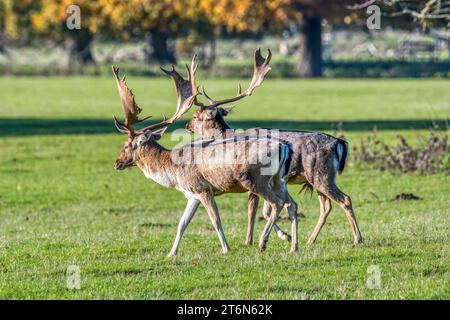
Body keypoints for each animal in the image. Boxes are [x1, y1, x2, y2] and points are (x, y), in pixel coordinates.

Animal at [110, 57, 298, 258]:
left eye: (126, 145)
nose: (117, 163)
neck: (173, 172)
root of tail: (284, 147)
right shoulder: (191, 194)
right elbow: (182, 224)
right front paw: (171, 253)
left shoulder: (203, 189)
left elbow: (216, 220)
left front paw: (226, 249)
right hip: (279, 180)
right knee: (291, 204)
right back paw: (294, 246)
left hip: (257, 180)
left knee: (277, 203)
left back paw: (264, 242)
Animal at [182, 49, 362, 245]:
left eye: (196, 115)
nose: (187, 125)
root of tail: (340, 143)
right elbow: (264, 210)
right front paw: (277, 236)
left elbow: (254, 211)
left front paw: (253, 240)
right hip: (318, 178)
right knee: (326, 206)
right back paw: (310, 239)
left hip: (322, 174)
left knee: (345, 199)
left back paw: (357, 239)